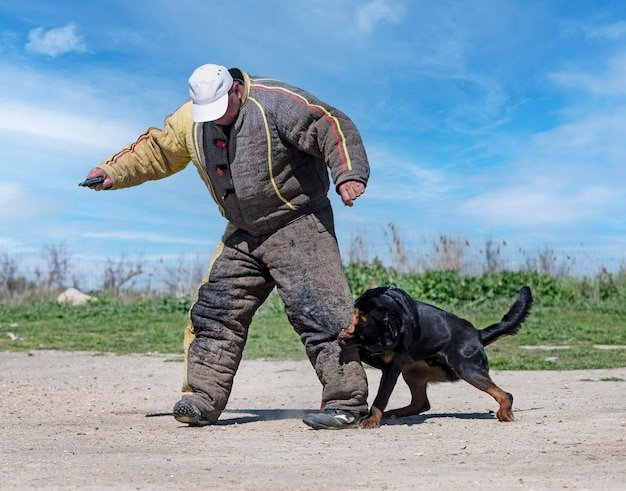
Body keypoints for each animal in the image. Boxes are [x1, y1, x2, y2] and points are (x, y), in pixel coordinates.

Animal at [336, 286, 532, 428]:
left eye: (371, 344)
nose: (341, 340)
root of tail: (477, 334)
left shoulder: (391, 367)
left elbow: (381, 397)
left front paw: (372, 419)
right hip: (413, 372)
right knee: (421, 403)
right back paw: (393, 413)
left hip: (468, 369)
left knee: (505, 394)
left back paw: (505, 412)